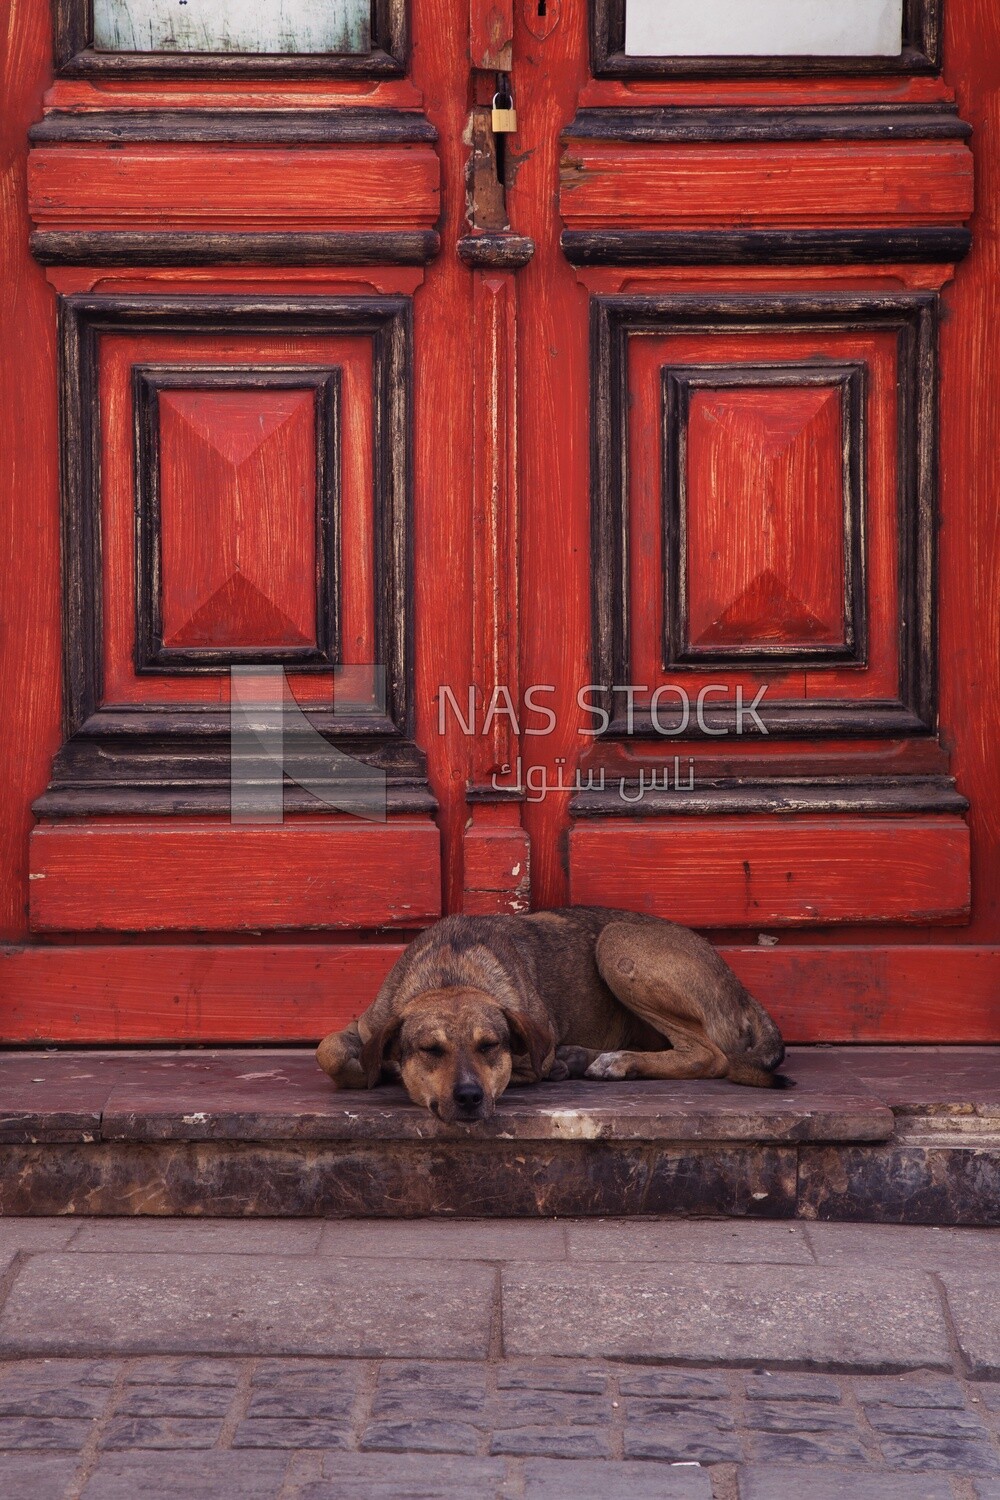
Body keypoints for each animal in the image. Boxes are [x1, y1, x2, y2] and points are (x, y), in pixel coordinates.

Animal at [316, 900, 785, 1128]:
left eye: (490, 1046)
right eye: (430, 1050)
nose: (469, 1098)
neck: (450, 973)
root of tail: (740, 989)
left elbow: (530, 1063)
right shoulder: (368, 1025)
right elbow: (329, 1051)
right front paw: (370, 1069)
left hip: (615, 943)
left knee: (709, 1055)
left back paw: (617, 1062)